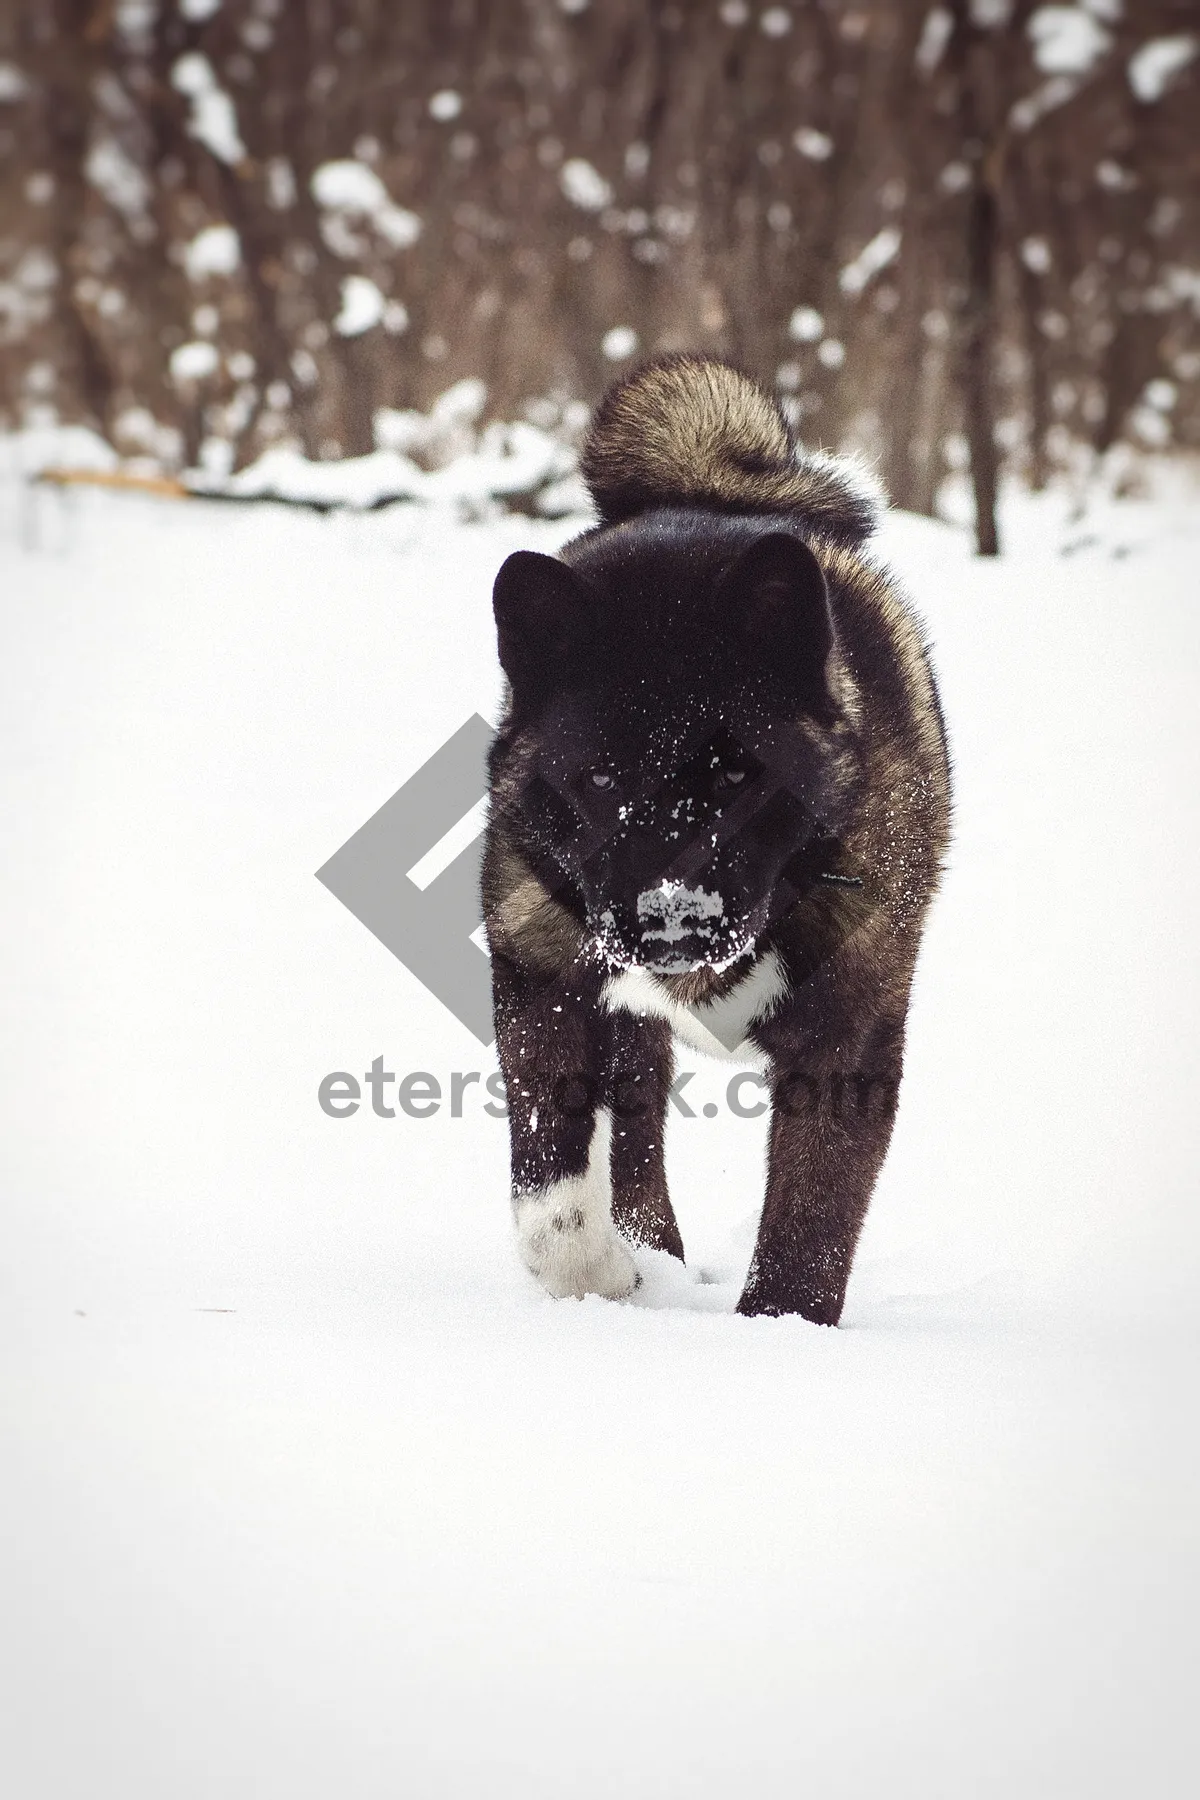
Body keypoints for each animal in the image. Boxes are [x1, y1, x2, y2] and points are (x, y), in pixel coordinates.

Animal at [478, 354, 949, 1324]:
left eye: (737, 775)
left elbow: (810, 1227)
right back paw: (650, 1252)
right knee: (636, 1133)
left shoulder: (848, 1042)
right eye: (601, 779)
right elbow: (552, 1203)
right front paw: (607, 1280)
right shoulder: (541, 984)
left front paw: (779, 1335)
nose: (672, 918)